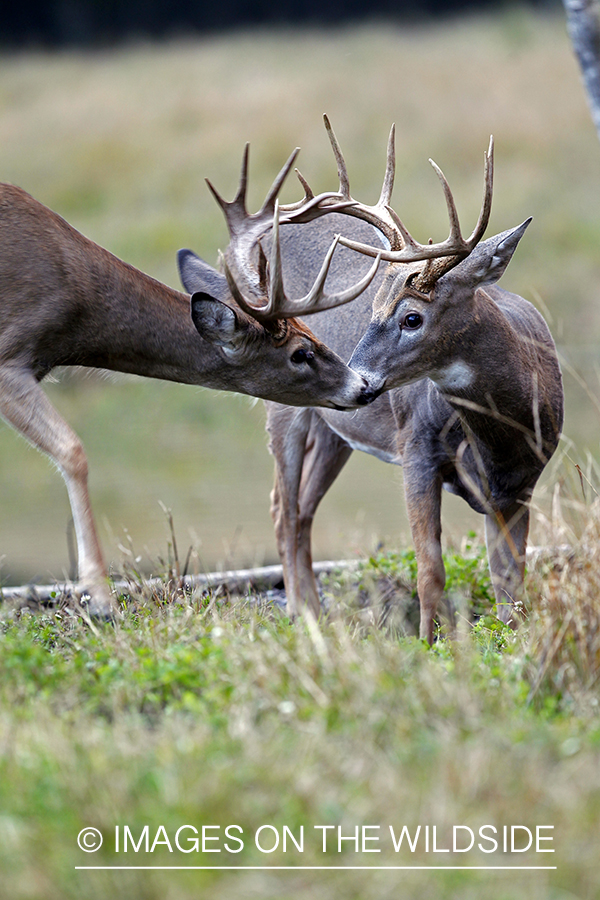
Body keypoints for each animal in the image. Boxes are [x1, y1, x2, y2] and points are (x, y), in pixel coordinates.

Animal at [0, 146, 380, 620]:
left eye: (314, 333)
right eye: (300, 353)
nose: (362, 386)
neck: (75, 303)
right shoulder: (9, 356)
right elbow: (74, 451)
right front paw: (102, 598)